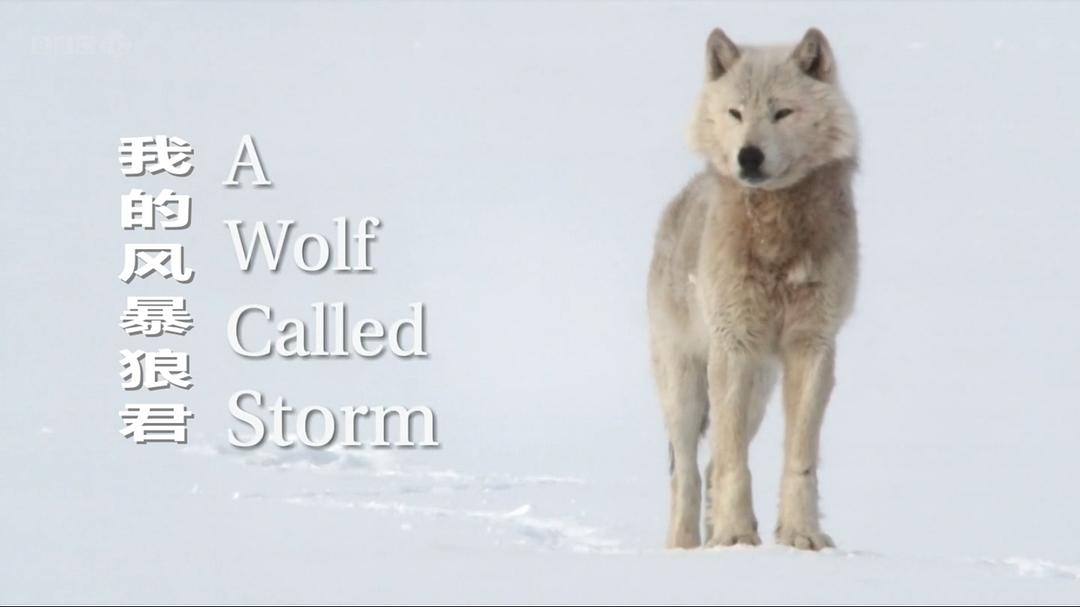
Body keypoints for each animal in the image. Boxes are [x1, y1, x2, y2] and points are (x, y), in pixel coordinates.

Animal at [647, 28, 858, 550]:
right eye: (736, 113)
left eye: (781, 112)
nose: (749, 156)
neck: (775, 234)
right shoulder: (734, 345)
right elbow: (733, 465)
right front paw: (736, 536)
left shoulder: (813, 346)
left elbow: (800, 459)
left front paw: (802, 536)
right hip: (686, 387)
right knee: (687, 471)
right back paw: (685, 547)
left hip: (761, 388)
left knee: (708, 464)